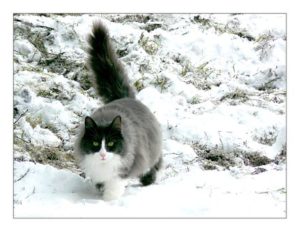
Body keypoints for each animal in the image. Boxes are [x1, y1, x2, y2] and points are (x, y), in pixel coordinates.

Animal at [74, 21, 163, 201]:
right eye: (95, 143)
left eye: (110, 144)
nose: (102, 154)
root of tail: (127, 98)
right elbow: (101, 182)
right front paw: (100, 191)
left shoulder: (127, 164)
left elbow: (115, 184)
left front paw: (109, 199)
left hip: (151, 149)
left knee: (156, 162)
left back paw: (148, 180)